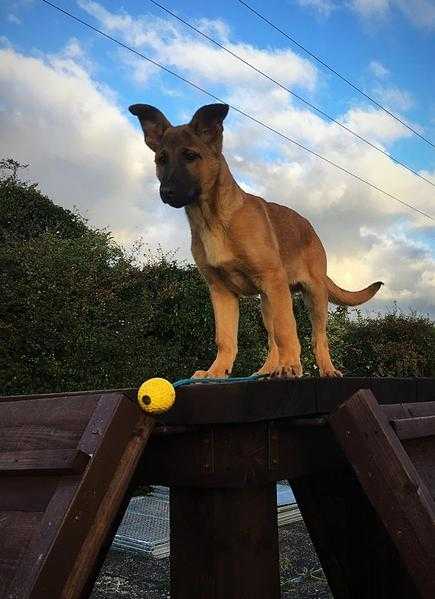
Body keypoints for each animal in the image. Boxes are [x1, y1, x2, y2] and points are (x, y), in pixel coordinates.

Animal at [129, 102, 382, 376]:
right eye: (161, 160)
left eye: (190, 156)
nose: (167, 192)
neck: (212, 219)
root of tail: (310, 228)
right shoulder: (222, 292)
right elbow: (226, 338)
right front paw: (216, 372)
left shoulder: (273, 281)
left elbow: (287, 329)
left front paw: (291, 365)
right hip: (268, 302)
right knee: (272, 339)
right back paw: (267, 370)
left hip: (312, 294)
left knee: (317, 337)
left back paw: (325, 369)